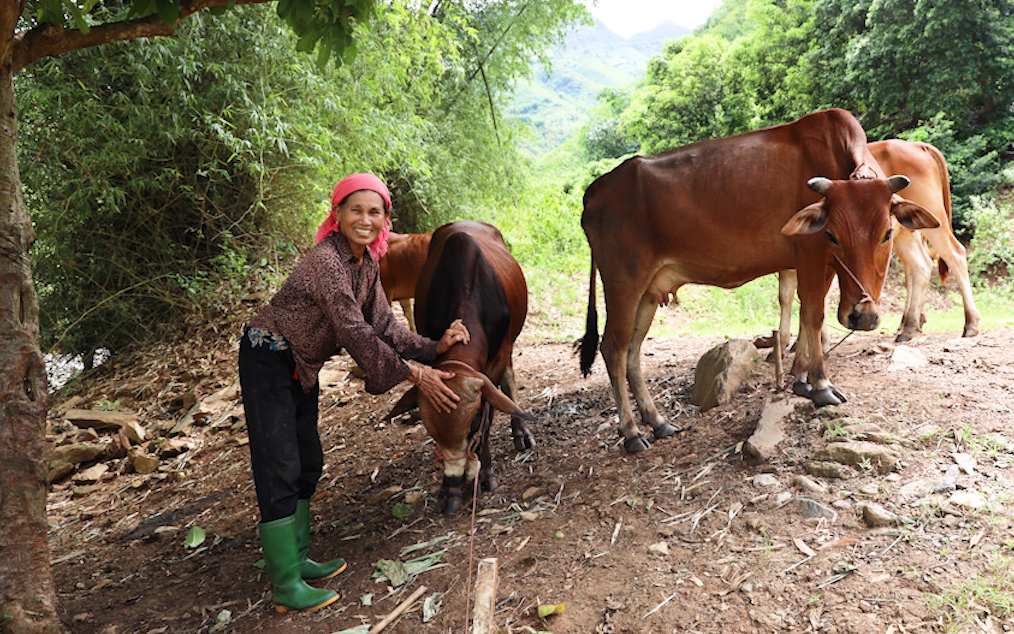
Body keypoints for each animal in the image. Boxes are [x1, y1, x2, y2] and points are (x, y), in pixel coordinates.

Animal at [385, 220, 535, 511]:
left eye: (472, 422)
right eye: (431, 431)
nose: (455, 478)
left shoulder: (496, 361)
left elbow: (489, 416)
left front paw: (485, 474)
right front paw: (449, 490)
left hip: (509, 346)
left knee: (509, 380)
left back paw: (521, 431)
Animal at [580, 110, 932, 454]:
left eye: (887, 232)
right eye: (832, 234)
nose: (862, 316)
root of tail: (596, 191)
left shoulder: (823, 266)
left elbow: (806, 316)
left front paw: (801, 378)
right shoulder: (810, 253)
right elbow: (813, 315)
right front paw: (821, 385)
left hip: (649, 291)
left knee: (633, 351)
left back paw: (658, 421)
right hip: (624, 283)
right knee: (613, 348)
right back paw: (631, 432)